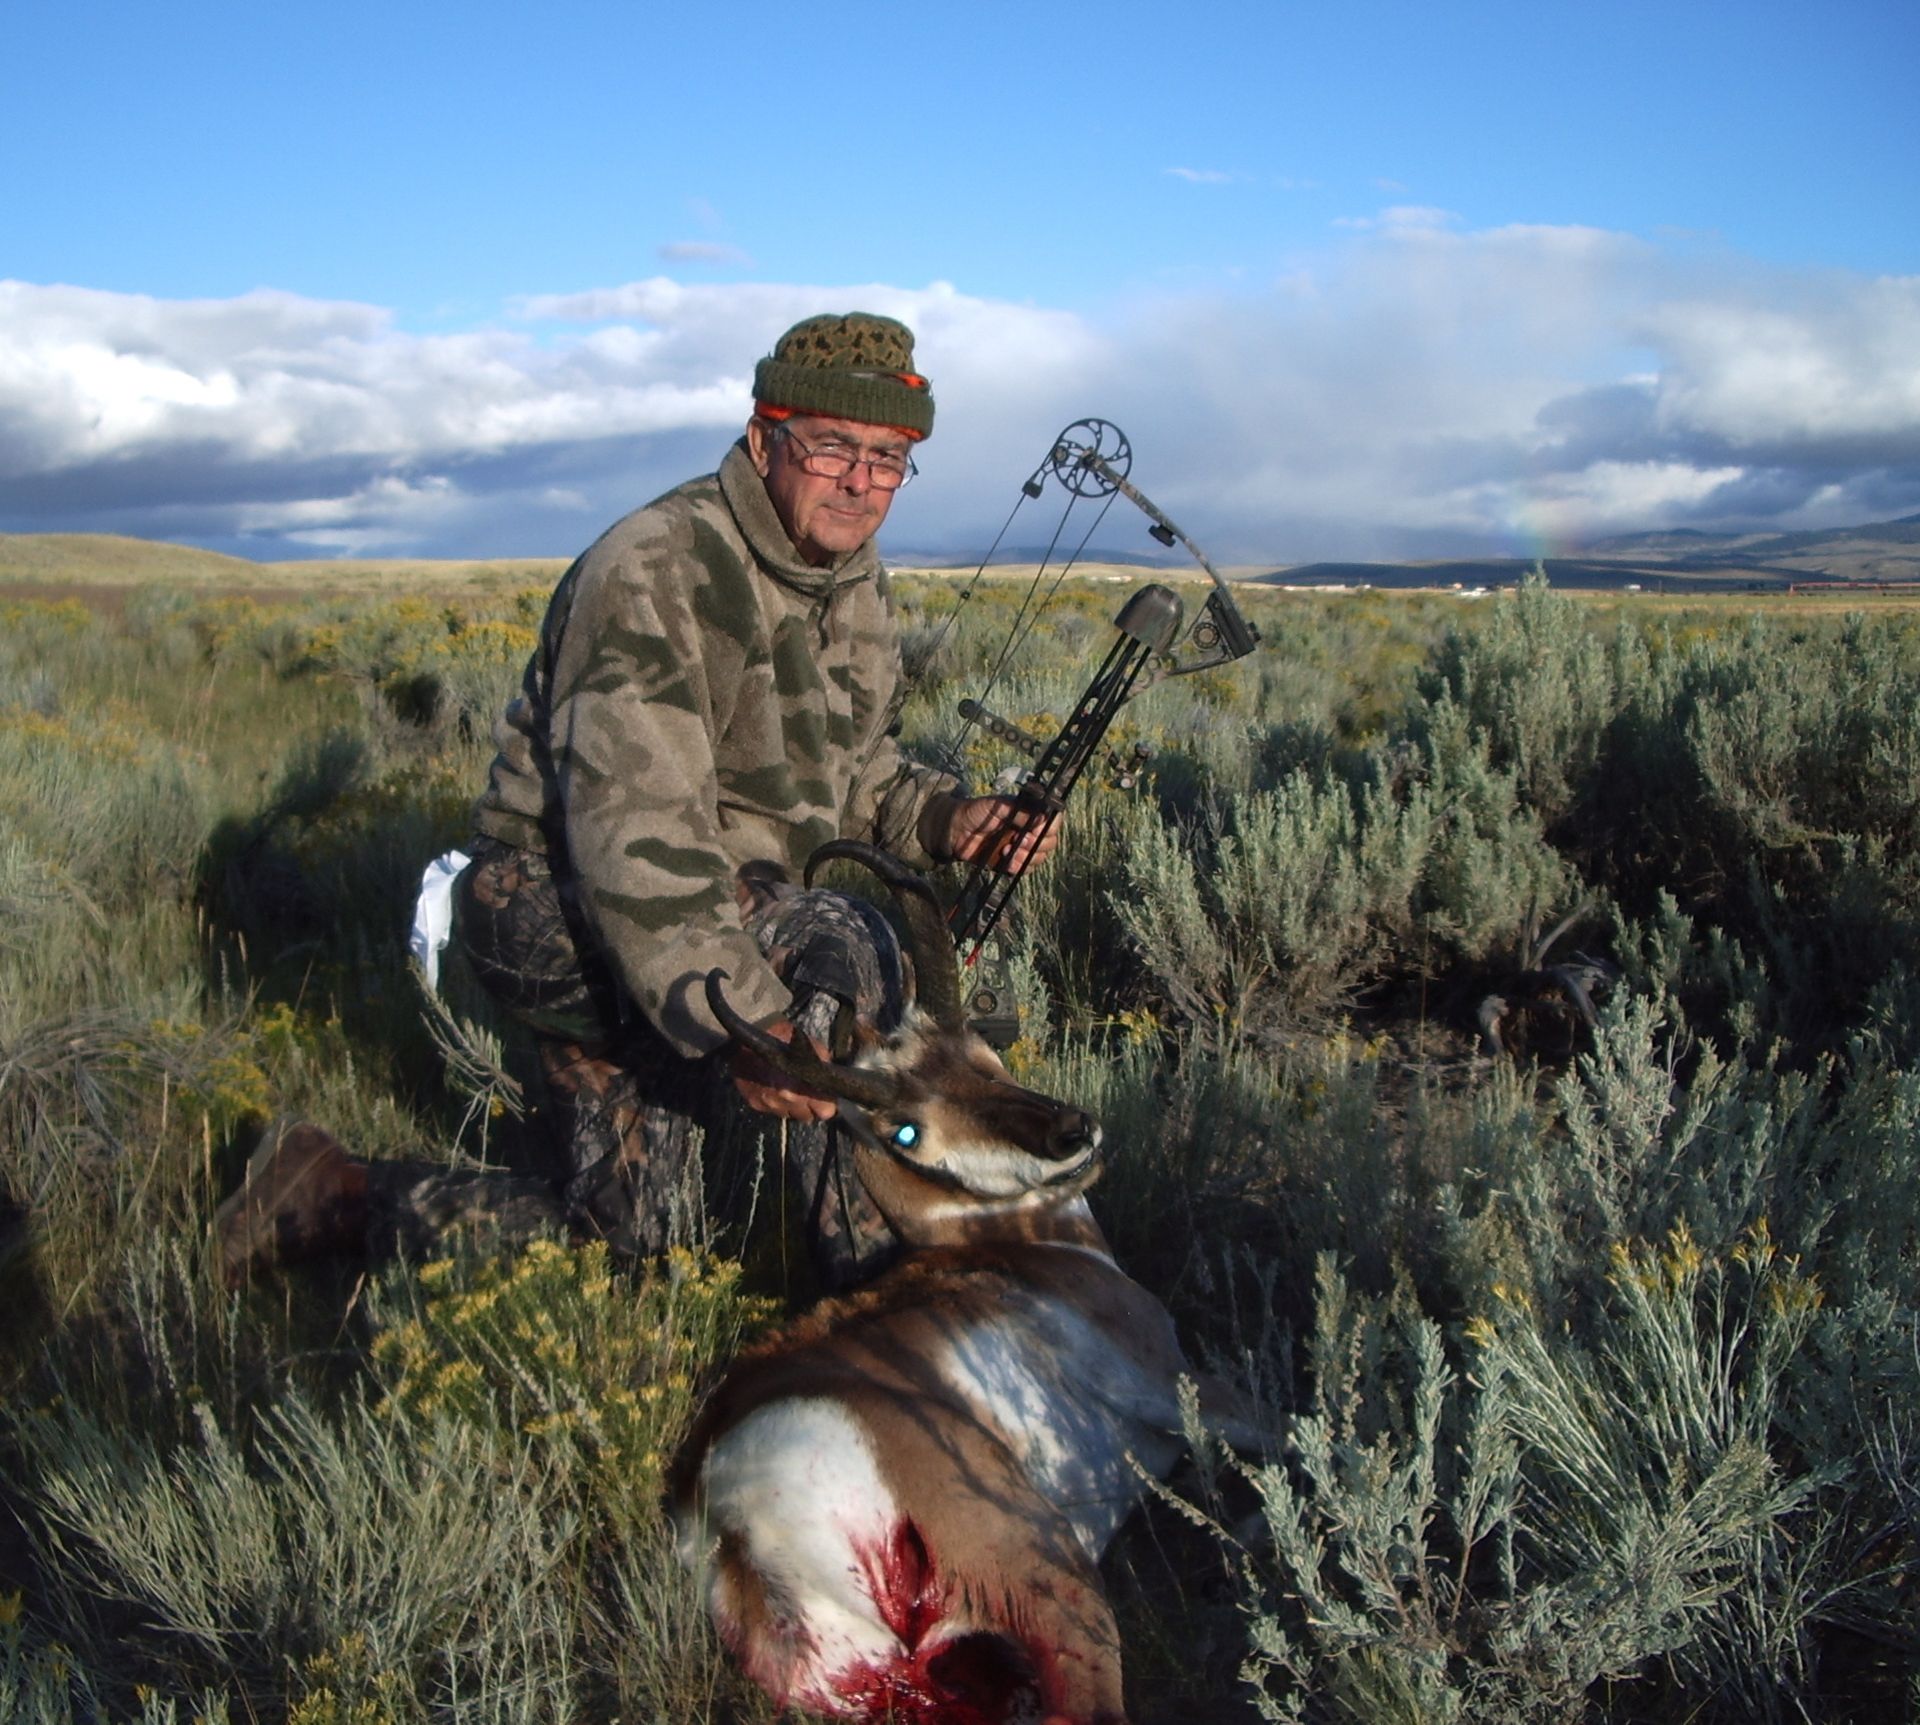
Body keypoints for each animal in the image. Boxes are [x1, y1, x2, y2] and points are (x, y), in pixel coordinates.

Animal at [671, 842, 1254, 1725]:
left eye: (982, 1055)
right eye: (905, 1130)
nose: (1070, 1133)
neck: (1021, 1249)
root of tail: (729, 1527)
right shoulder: (1174, 1385)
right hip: (1042, 1568)